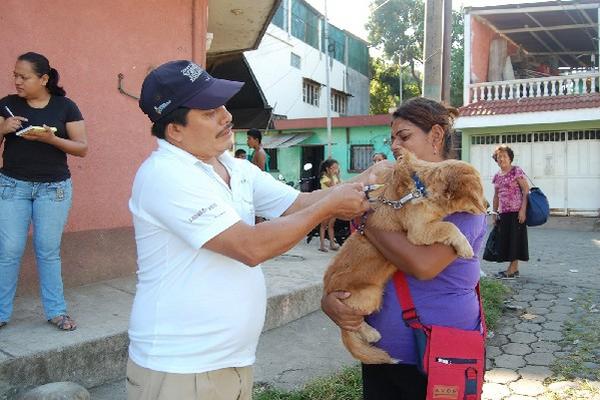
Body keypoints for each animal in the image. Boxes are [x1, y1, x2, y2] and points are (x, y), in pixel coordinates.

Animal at [324, 148, 488, 364]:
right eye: (479, 192)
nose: (488, 206)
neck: (422, 188)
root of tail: (328, 290)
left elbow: (445, 223)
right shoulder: (418, 231)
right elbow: (448, 225)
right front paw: (465, 246)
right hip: (370, 295)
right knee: (353, 324)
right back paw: (370, 333)